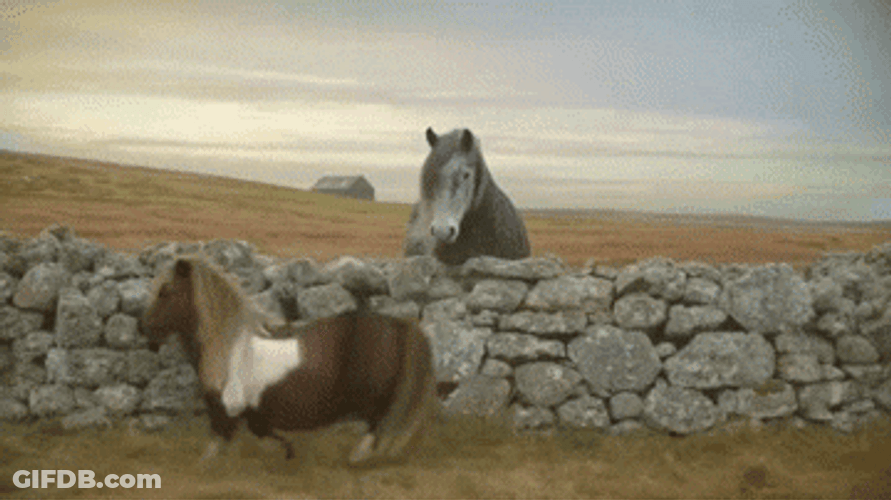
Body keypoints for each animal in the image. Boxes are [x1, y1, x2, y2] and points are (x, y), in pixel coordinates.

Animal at [140, 255, 437, 466]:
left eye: (166, 291)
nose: (145, 331)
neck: (230, 347)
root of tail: (398, 325)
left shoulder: (228, 408)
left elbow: (219, 441)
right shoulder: (247, 413)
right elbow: (259, 433)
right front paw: (286, 453)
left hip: (371, 396)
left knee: (376, 424)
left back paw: (356, 457)